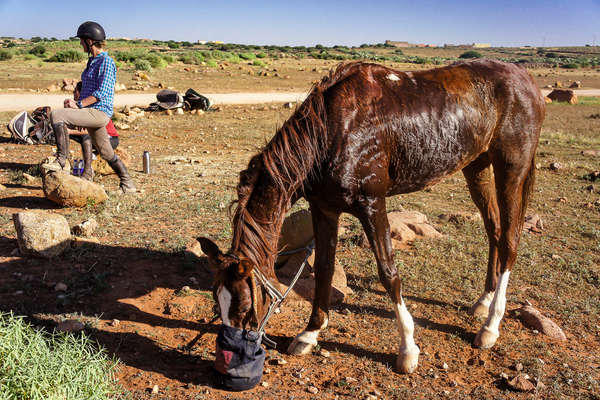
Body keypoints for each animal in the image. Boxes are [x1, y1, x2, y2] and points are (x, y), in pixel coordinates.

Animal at [199, 58, 548, 372]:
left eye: (245, 305)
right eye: (217, 301)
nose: (228, 359)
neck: (333, 132)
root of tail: (528, 80)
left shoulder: (372, 205)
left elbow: (389, 274)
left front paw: (408, 350)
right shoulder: (324, 210)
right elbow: (324, 268)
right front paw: (310, 333)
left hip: (512, 170)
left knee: (509, 241)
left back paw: (490, 327)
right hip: (476, 168)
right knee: (494, 231)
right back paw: (483, 302)